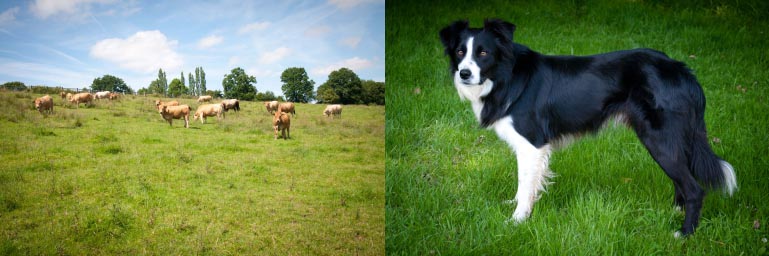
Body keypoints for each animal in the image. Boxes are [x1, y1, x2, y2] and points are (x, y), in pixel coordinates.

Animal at [438, 19, 736, 236]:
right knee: (682, 180)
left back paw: (684, 233)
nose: (464, 74)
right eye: (460, 52)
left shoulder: (532, 144)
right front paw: (517, 206)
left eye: (483, 53)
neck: (506, 76)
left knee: (695, 188)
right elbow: (525, 186)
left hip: (660, 139)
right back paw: (675, 212)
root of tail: (683, 71)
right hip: (670, 140)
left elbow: (525, 182)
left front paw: (517, 220)